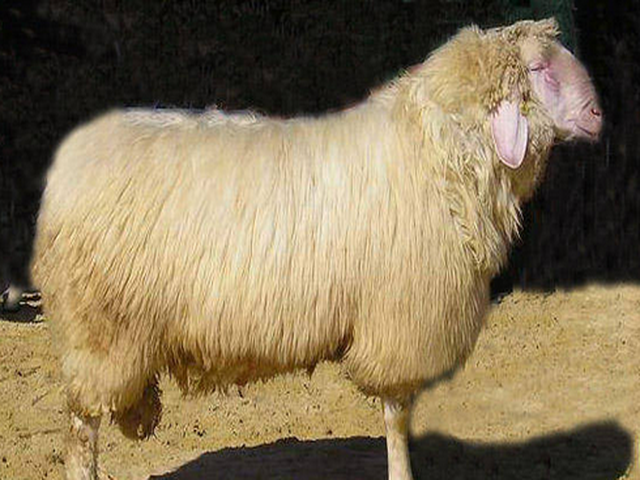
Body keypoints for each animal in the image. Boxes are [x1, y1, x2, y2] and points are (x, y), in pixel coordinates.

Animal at [31, 18, 601, 480]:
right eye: (539, 69)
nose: (598, 114)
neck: (438, 150)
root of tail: (67, 164)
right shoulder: (397, 320)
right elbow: (397, 416)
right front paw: (401, 470)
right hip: (99, 330)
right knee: (80, 433)